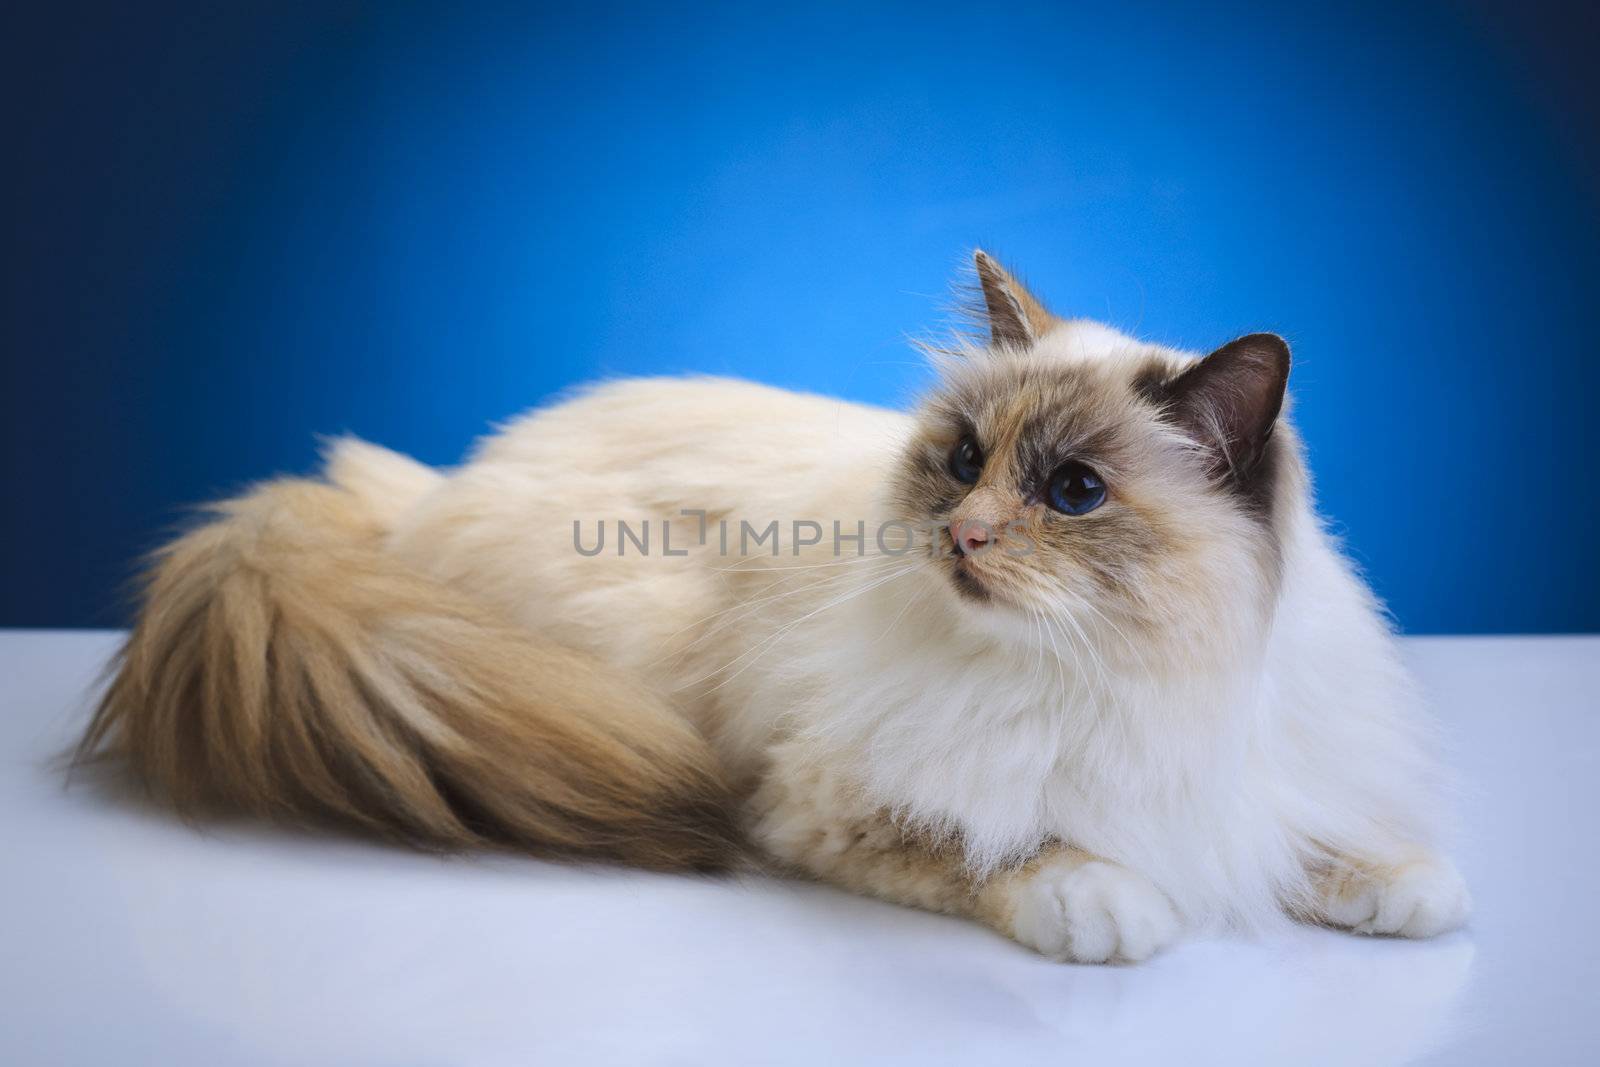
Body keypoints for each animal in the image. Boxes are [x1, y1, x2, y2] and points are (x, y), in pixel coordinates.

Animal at [81, 252, 1465, 966]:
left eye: (1073, 491)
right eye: (963, 461)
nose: (961, 533)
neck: (1122, 673)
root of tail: (421, 490)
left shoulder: (1248, 771)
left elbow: (1316, 834)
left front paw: (1402, 885)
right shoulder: (818, 797)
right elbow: (1009, 845)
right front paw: (1110, 904)